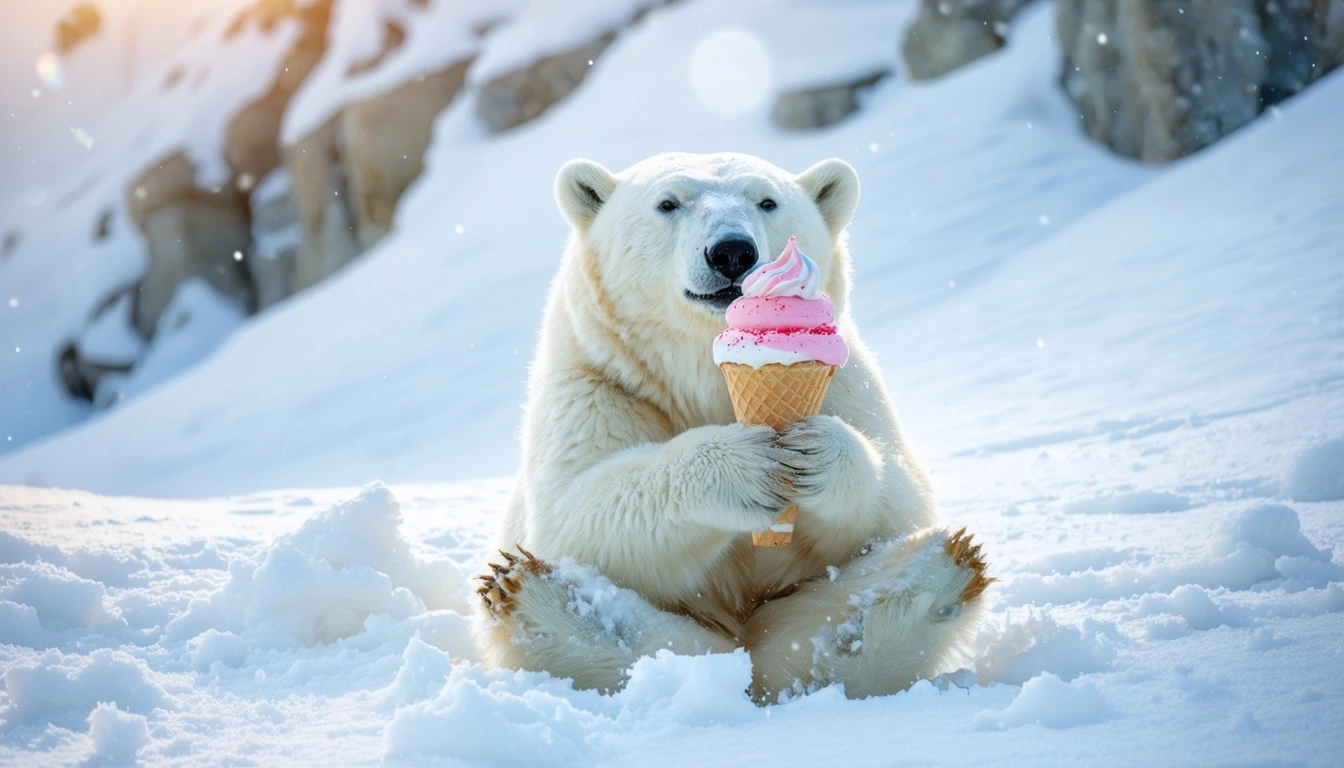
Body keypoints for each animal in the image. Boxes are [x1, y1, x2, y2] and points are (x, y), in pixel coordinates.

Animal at [473, 151, 989, 704]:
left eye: (767, 200)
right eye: (668, 203)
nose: (732, 252)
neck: (706, 373)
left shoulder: (846, 381)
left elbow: (900, 504)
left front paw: (816, 454)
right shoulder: (598, 383)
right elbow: (571, 512)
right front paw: (746, 467)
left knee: (826, 624)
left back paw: (945, 568)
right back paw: (532, 596)